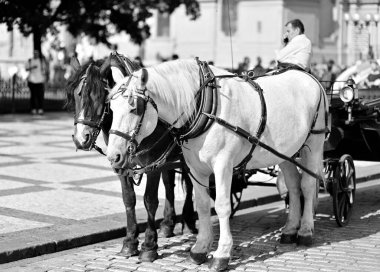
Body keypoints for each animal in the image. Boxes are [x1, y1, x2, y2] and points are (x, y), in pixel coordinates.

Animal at [65, 51, 196, 262]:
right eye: (76, 95)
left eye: (99, 96)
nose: (81, 138)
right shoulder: (120, 163)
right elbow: (129, 199)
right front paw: (130, 242)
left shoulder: (153, 164)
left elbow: (150, 200)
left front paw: (149, 246)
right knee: (170, 184)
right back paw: (168, 223)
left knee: (191, 184)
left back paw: (190, 220)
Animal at [106, 59, 326, 270]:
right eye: (112, 108)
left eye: (134, 108)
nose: (113, 156)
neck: (207, 109)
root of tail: (308, 75)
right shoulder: (195, 168)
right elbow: (203, 206)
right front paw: (200, 249)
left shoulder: (223, 166)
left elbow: (222, 206)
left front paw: (222, 254)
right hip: (285, 153)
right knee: (293, 187)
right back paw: (290, 230)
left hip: (314, 143)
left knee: (307, 185)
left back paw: (305, 231)